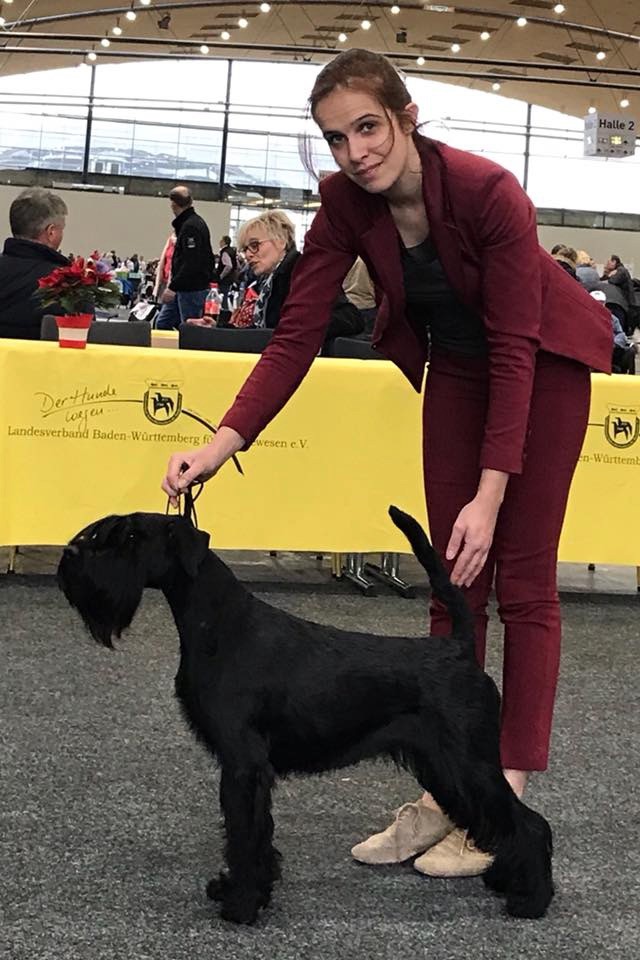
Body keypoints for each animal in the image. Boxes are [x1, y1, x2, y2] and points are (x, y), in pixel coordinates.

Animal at [57, 506, 552, 928]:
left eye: (132, 537)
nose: (72, 556)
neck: (219, 625)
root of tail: (460, 648)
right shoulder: (244, 769)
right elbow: (249, 836)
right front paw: (237, 889)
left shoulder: (243, 765)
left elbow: (244, 834)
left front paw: (242, 904)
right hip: (444, 768)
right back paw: (506, 881)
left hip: (467, 764)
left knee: (529, 824)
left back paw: (532, 899)